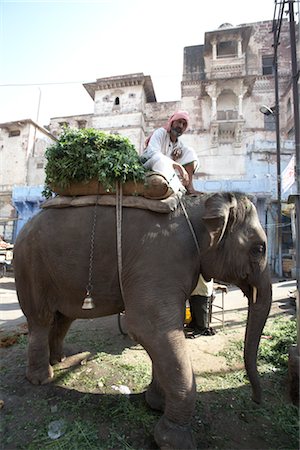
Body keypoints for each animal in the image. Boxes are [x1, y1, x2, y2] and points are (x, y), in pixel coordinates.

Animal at [13, 192, 272, 448]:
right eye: (259, 249)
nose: (256, 400)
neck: (198, 205)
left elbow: (164, 333)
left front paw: (156, 403)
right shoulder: (160, 260)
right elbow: (150, 329)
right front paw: (174, 440)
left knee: (63, 318)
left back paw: (59, 360)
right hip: (30, 268)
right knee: (41, 320)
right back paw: (41, 378)